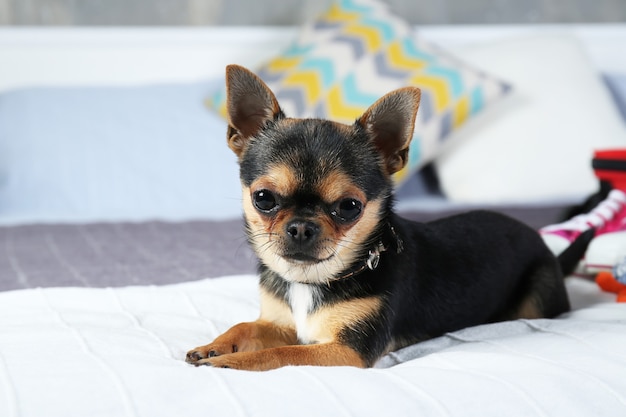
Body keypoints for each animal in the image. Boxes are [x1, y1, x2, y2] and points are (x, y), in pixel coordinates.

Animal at [185, 64, 588, 370]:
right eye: (264, 199)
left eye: (349, 206)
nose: (301, 226)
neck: (311, 281)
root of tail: (542, 242)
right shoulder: (282, 323)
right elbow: (246, 326)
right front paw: (214, 345)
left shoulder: (346, 350)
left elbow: (279, 354)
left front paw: (228, 362)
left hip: (538, 299)